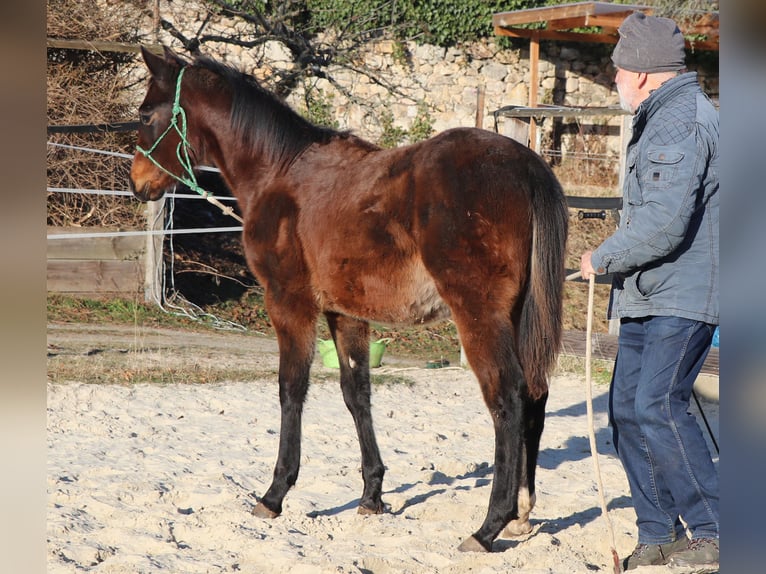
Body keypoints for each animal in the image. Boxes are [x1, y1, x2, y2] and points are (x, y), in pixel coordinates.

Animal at [129, 46, 568, 552]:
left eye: (145, 114)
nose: (136, 182)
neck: (279, 172)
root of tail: (526, 166)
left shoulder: (289, 302)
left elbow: (291, 388)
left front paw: (274, 495)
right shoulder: (345, 313)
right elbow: (356, 392)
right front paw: (372, 496)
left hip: (480, 316)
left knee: (507, 399)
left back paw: (489, 525)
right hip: (517, 318)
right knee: (535, 395)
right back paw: (520, 514)